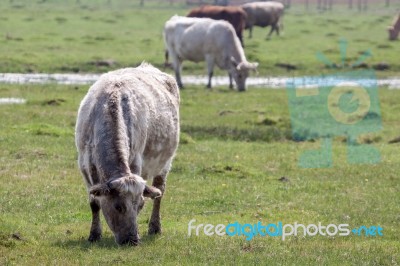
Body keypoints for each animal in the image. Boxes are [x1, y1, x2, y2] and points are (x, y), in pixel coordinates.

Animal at [74, 62, 180, 245]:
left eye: (139, 205)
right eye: (118, 206)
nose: (133, 240)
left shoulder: (136, 162)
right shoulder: (84, 166)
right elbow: (94, 204)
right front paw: (94, 235)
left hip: (165, 163)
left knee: (159, 192)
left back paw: (155, 227)